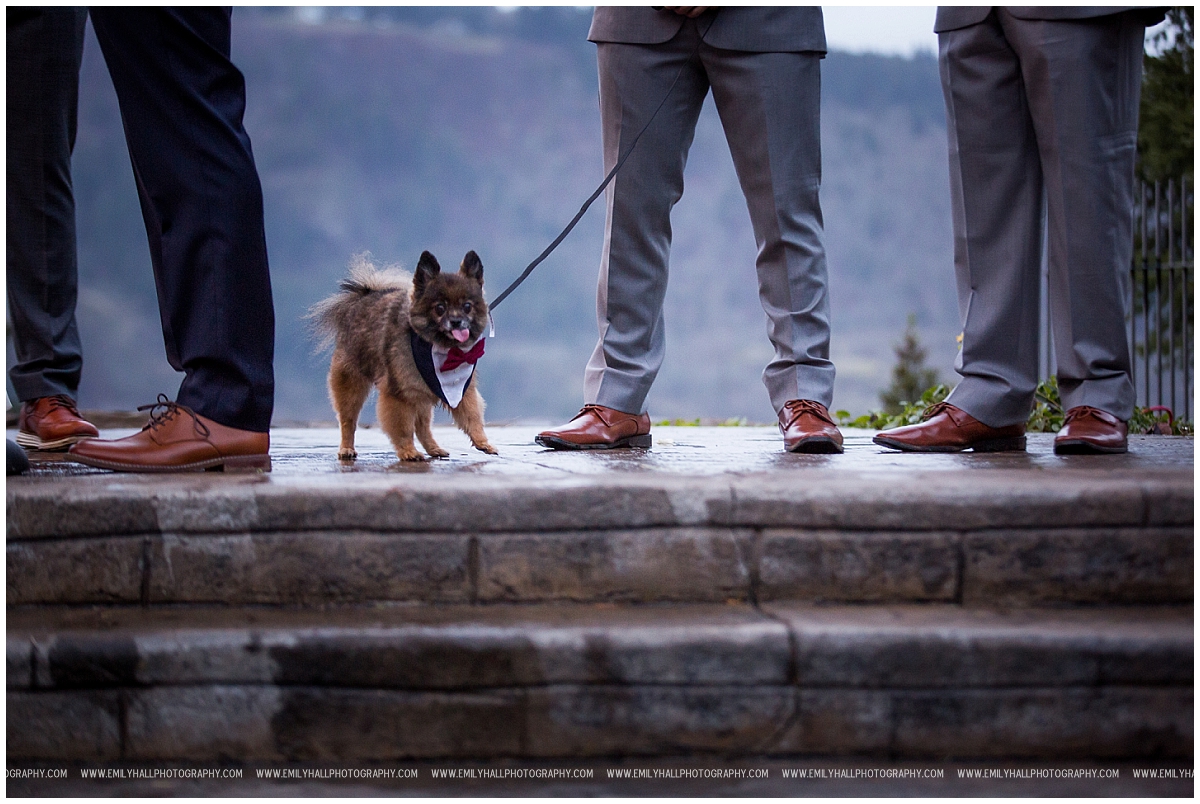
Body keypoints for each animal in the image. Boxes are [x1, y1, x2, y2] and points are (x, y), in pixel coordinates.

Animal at [314, 255, 496, 463]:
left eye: (467, 306)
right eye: (440, 308)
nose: (456, 321)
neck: (440, 348)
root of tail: (364, 295)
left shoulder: (462, 390)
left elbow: (472, 418)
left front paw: (483, 442)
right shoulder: (399, 394)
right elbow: (402, 428)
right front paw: (408, 451)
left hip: (421, 393)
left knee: (423, 427)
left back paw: (434, 449)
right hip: (353, 385)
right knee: (348, 421)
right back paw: (346, 449)